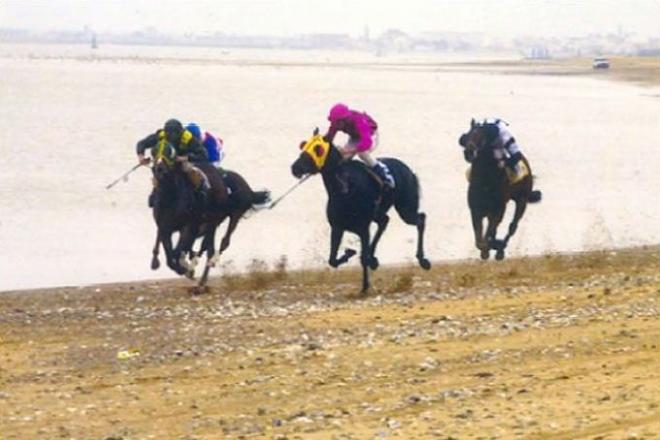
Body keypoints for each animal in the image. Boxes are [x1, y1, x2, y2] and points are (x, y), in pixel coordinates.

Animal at [151, 144, 270, 288]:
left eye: (170, 153)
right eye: (153, 152)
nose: (159, 169)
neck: (170, 198)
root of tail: (248, 188)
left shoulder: (189, 225)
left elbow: (178, 250)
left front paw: (185, 267)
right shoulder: (165, 227)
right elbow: (170, 253)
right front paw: (182, 266)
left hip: (233, 215)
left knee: (222, 242)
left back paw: (205, 268)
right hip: (212, 223)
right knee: (206, 247)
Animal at [292, 129, 430, 294]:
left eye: (318, 149)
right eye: (304, 145)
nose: (294, 168)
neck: (344, 190)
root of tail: (410, 171)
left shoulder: (363, 228)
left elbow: (361, 257)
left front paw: (365, 287)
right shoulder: (337, 227)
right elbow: (332, 260)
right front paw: (350, 254)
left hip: (405, 209)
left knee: (420, 218)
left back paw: (422, 260)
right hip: (380, 213)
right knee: (385, 221)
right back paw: (374, 259)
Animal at [458, 118, 540, 260]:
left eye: (481, 137)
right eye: (467, 135)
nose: (469, 152)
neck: (485, 181)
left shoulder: (498, 210)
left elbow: (488, 234)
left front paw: (492, 247)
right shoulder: (475, 211)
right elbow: (479, 240)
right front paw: (487, 249)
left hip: (521, 200)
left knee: (512, 226)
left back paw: (500, 250)